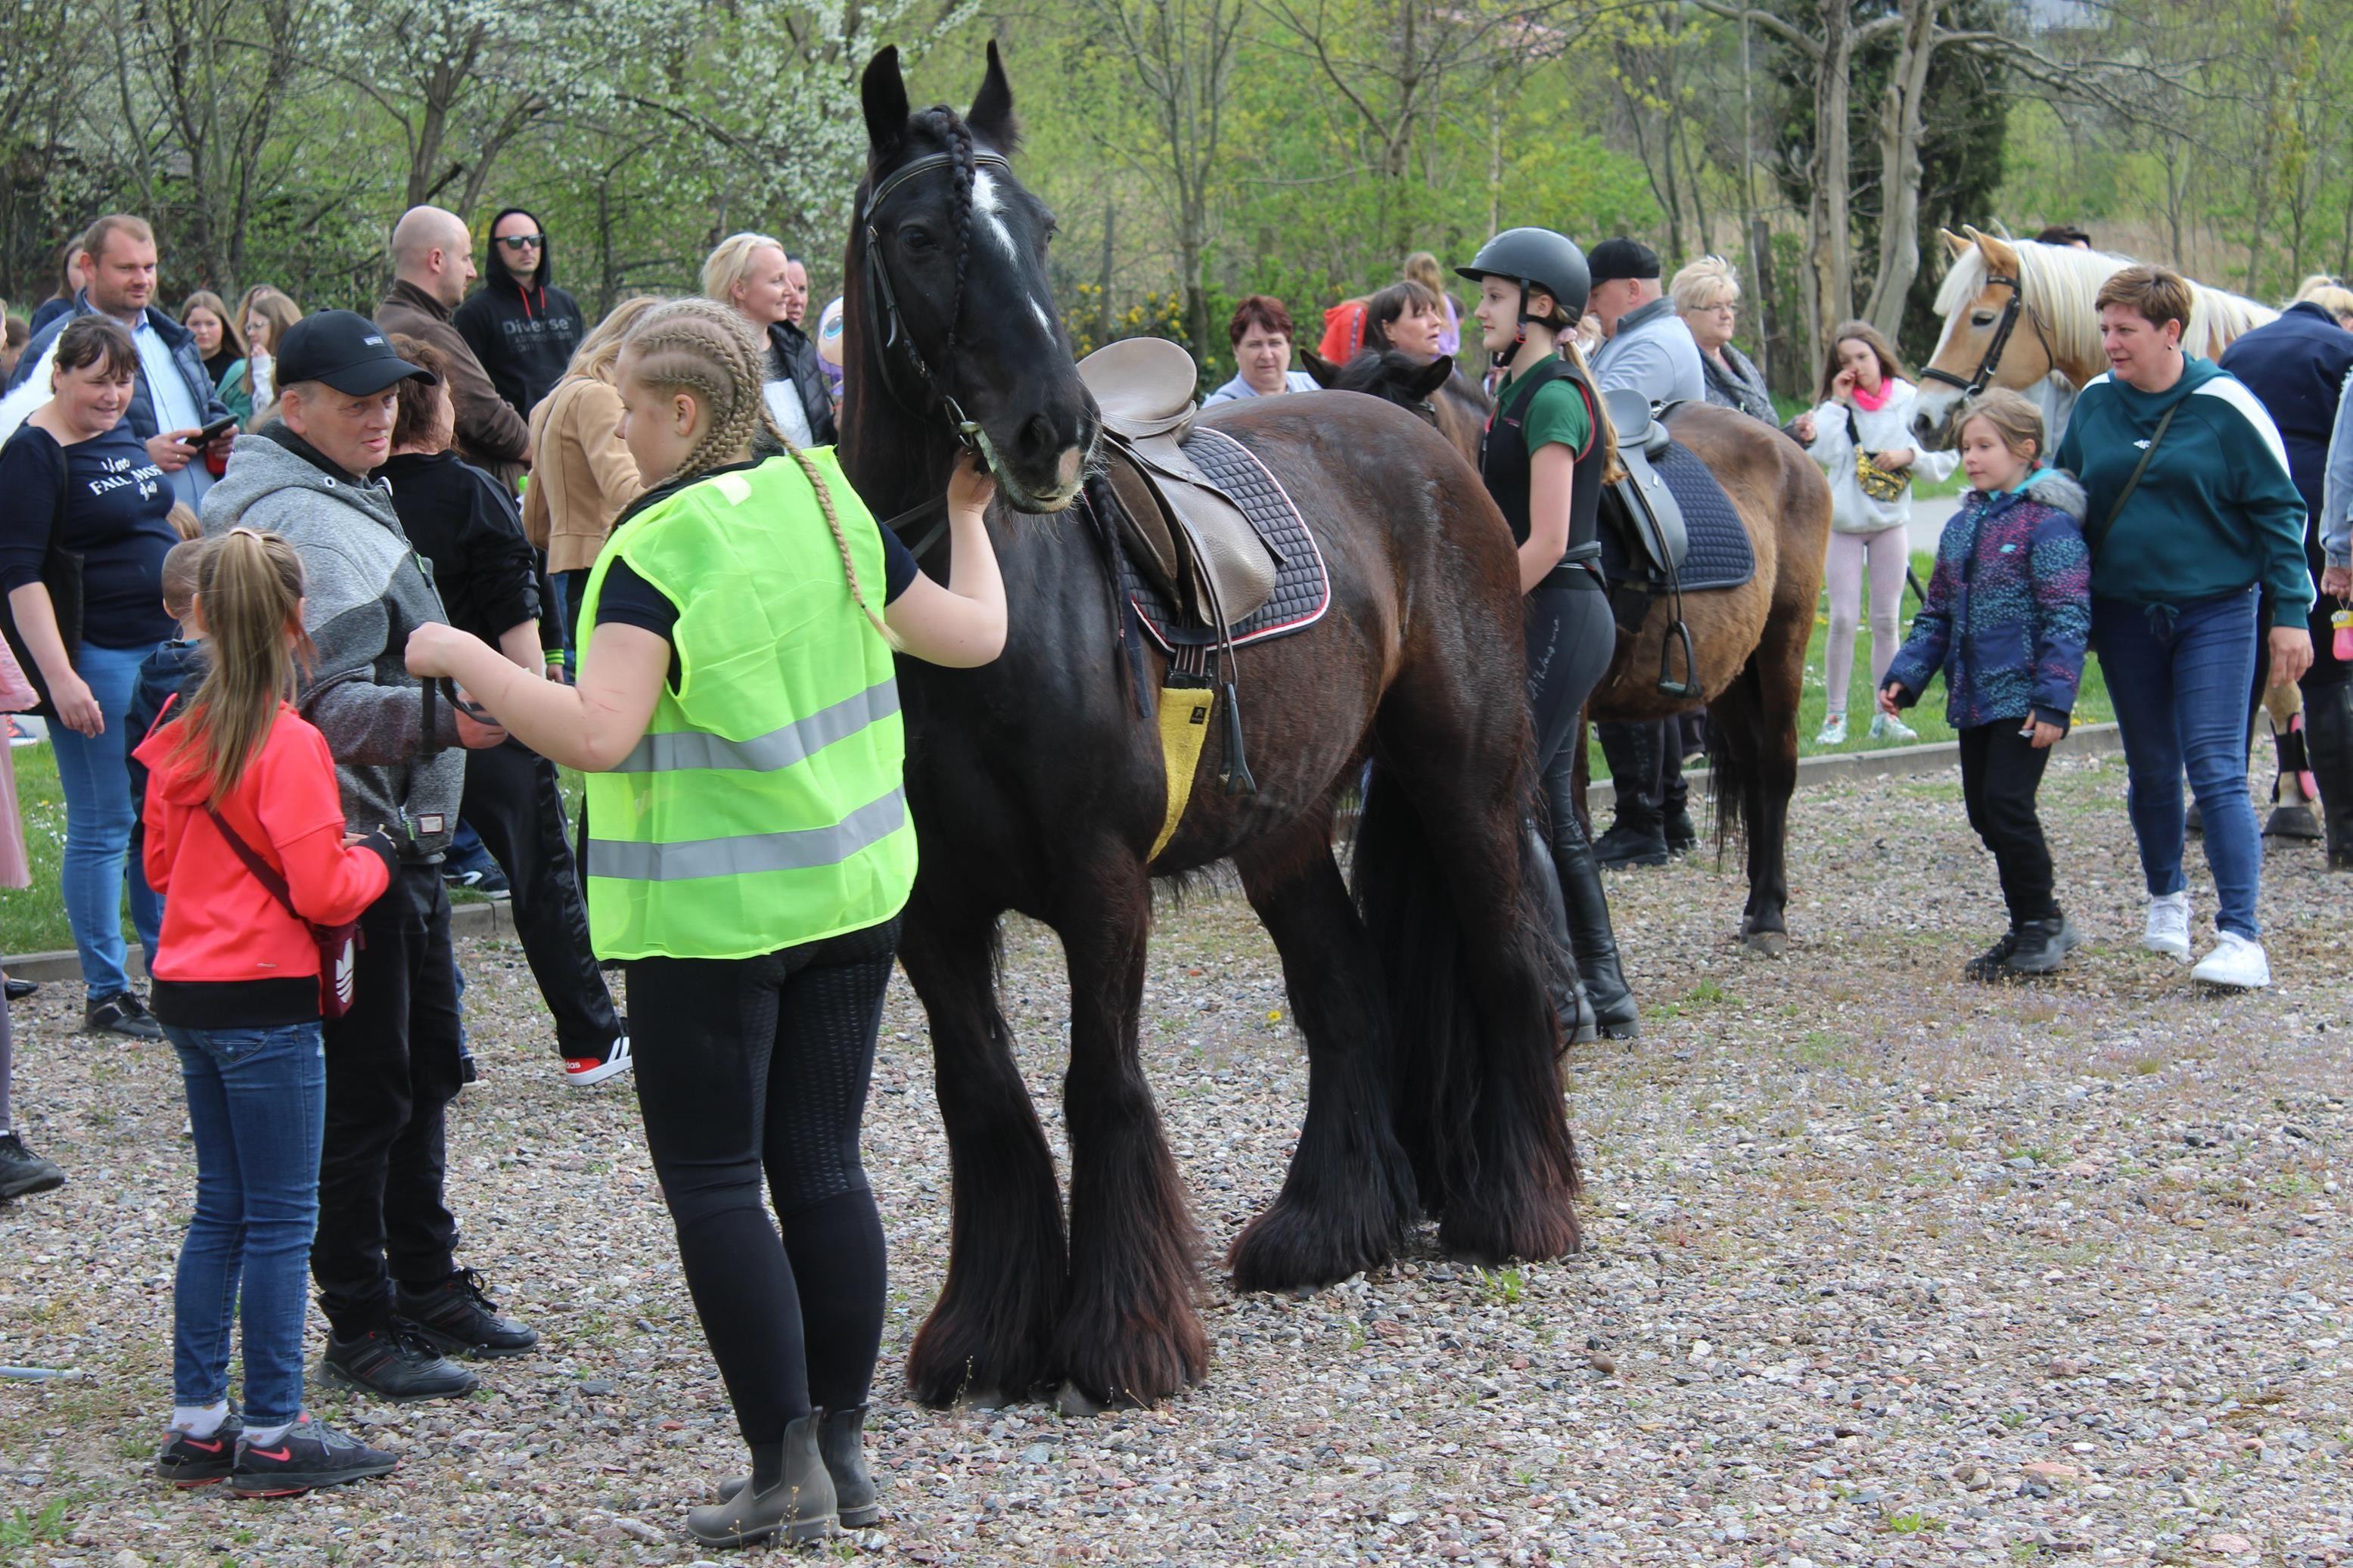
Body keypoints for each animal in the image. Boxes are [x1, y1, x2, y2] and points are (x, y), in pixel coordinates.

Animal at [842, 45, 1581, 1410]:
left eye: (1038, 227)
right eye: (918, 237)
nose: (1052, 429)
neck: (986, 612)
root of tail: (1427, 441)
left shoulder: (1101, 884)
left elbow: (1100, 1085)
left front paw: (1122, 1338)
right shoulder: (938, 915)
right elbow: (985, 1098)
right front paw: (985, 1334)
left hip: (1468, 780)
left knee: (1509, 963)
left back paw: (1521, 1209)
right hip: (1286, 831)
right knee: (1346, 996)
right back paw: (1327, 1228)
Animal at [1327, 352, 1835, 959]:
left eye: (1408, 431)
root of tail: (1786, 445)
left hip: (1784, 643)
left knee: (1777, 767)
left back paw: (1769, 915)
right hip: (1728, 673)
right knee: (1755, 766)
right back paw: (1758, 901)